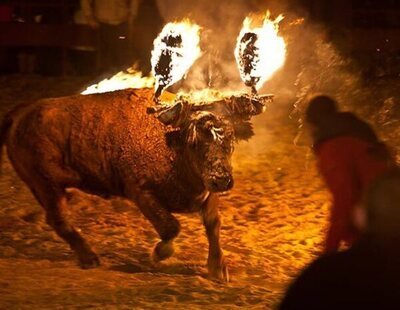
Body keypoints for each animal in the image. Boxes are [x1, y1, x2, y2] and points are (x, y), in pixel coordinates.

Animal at [0, 87, 268, 280]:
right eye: (194, 142)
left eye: (231, 138)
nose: (221, 180)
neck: (172, 142)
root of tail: (21, 113)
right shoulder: (141, 193)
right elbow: (171, 227)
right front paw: (158, 254)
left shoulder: (205, 194)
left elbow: (213, 225)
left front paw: (218, 269)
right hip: (46, 186)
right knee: (59, 220)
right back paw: (90, 258)